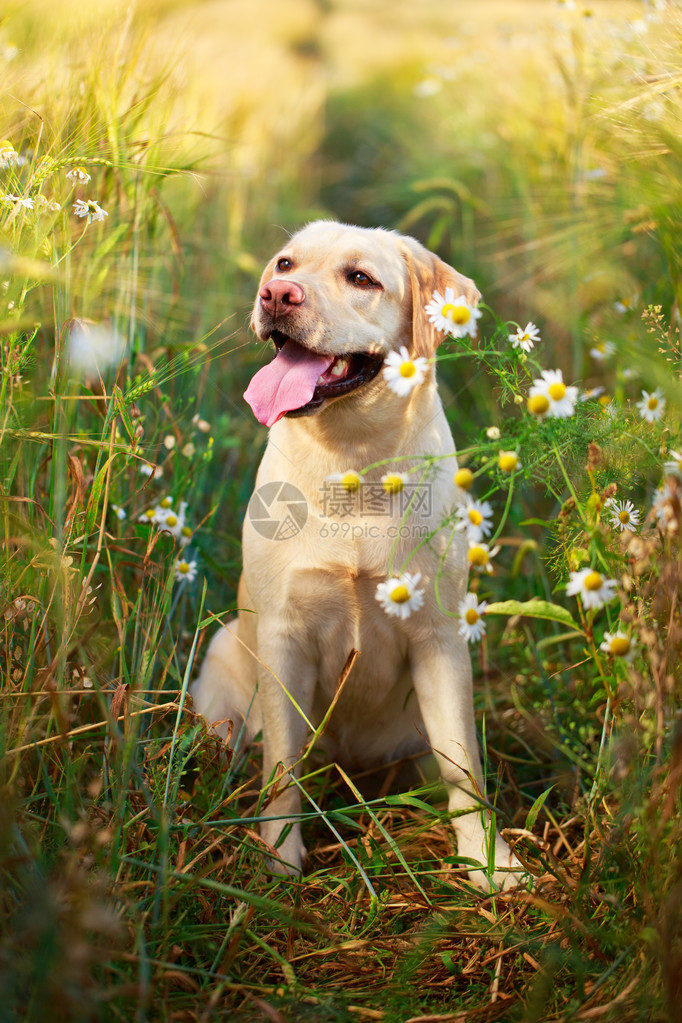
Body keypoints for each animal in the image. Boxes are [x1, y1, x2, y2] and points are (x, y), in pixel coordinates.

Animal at [192, 219, 523, 892]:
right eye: (284, 264)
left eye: (361, 278)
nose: (277, 296)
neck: (350, 463)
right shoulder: (284, 639)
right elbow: (282, 767)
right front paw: (278, 859)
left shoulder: (439, 640)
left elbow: (465, 769)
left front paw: (488, 860)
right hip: (223, 662)